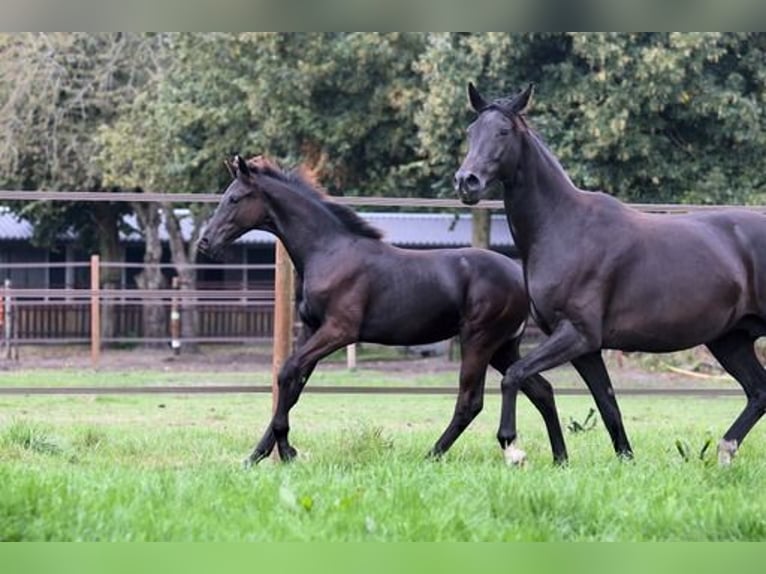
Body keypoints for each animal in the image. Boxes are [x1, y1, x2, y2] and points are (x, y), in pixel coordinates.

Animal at [198, 155, 568, 466]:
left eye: (234, 199)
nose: (205, 242)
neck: (328, 251)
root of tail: (519, 276)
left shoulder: (339, 331)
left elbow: (288, 372)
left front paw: (286, 450)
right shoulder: (312, 330)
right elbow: (293, 384)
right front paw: (256, 456)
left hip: (479, 339)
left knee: (470, 401)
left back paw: (432, 456)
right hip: (503, 346)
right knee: (540, 389)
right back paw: (560, 458)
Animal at [452, 83, 766, 466]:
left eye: (503, 131)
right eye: (471, 131)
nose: (466, 182)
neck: (564, 226)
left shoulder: (578, 335)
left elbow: (514, 374)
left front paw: (512, 446)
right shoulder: (585, 349)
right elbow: (608, 406)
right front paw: (622, 461)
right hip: (730, 340)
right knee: (759, 392)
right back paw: (725, 451)